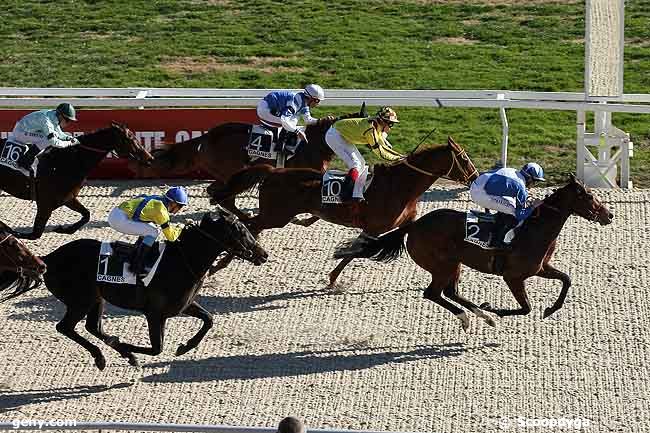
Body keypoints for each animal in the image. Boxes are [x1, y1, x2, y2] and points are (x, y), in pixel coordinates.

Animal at [0, 122, 153, 240]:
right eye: (129, 138)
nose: (149, 158)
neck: (69, 161)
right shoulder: (45, 203)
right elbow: (34, 234)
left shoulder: (68, 198)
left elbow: (87, 215)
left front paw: (65, 229)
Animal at [0, 208, 266, 370]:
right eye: (242, 231)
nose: (263, 254)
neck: (183, 261)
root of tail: (49, 259)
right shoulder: (155, 314)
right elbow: (157, 348)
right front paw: (128, 348)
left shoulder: (183, 306)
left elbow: (209, 319)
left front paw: (184, 347)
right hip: (80, 300)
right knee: (65, 327)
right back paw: (104, 356)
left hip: (96, 298)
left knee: (93, 327)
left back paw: (115, 353)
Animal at [129, 105, 368, 219]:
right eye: (367, 126)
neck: (315, 142)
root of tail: (205, 138)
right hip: (231, 170)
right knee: (223, 195)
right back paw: (241, 215)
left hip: (228, 173)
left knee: (217, 191)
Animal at [210, 136, 478, 284]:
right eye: (464, 159)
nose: (475, 177)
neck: (402, 185)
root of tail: (274, 171)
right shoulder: (374, 227)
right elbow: (355, 251)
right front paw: (332, 277)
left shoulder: (398, 224)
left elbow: (356, 251)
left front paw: (332, 276)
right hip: (276, 216)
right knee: (251, 225)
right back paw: (222, 262)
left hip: (274, 215)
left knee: (253, 226)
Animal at [334, 174, 612, 330]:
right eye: (588, 196)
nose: (609, 215)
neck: (535, 229)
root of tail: (414, 225)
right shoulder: (514, 276)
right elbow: (526, 308)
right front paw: (495, 309)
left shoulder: (540, 268)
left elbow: (566, 279)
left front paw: (550, 310)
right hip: (441, 264)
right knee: (433, 293)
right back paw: (471, 317)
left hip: (454, 263)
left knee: (449, 292)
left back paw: (479, 315)